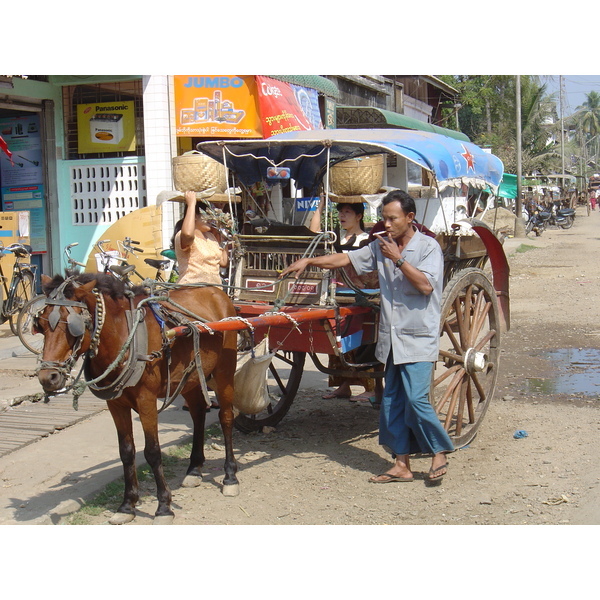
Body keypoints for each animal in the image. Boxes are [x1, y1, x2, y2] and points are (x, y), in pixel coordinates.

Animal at [34, 274, 238, 524]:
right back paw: (194, 469)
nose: (48, 377)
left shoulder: (146, 401)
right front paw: (127, 505)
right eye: (41, 325)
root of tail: (217, 292)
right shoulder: (116, 404)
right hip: (189, 376)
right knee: (198, 413)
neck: (123, 335)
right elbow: (126, 452)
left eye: (72, 326)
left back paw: (230, 476)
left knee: (226, 417)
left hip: (225, 371)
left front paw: (163, 506)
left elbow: (152, 452)